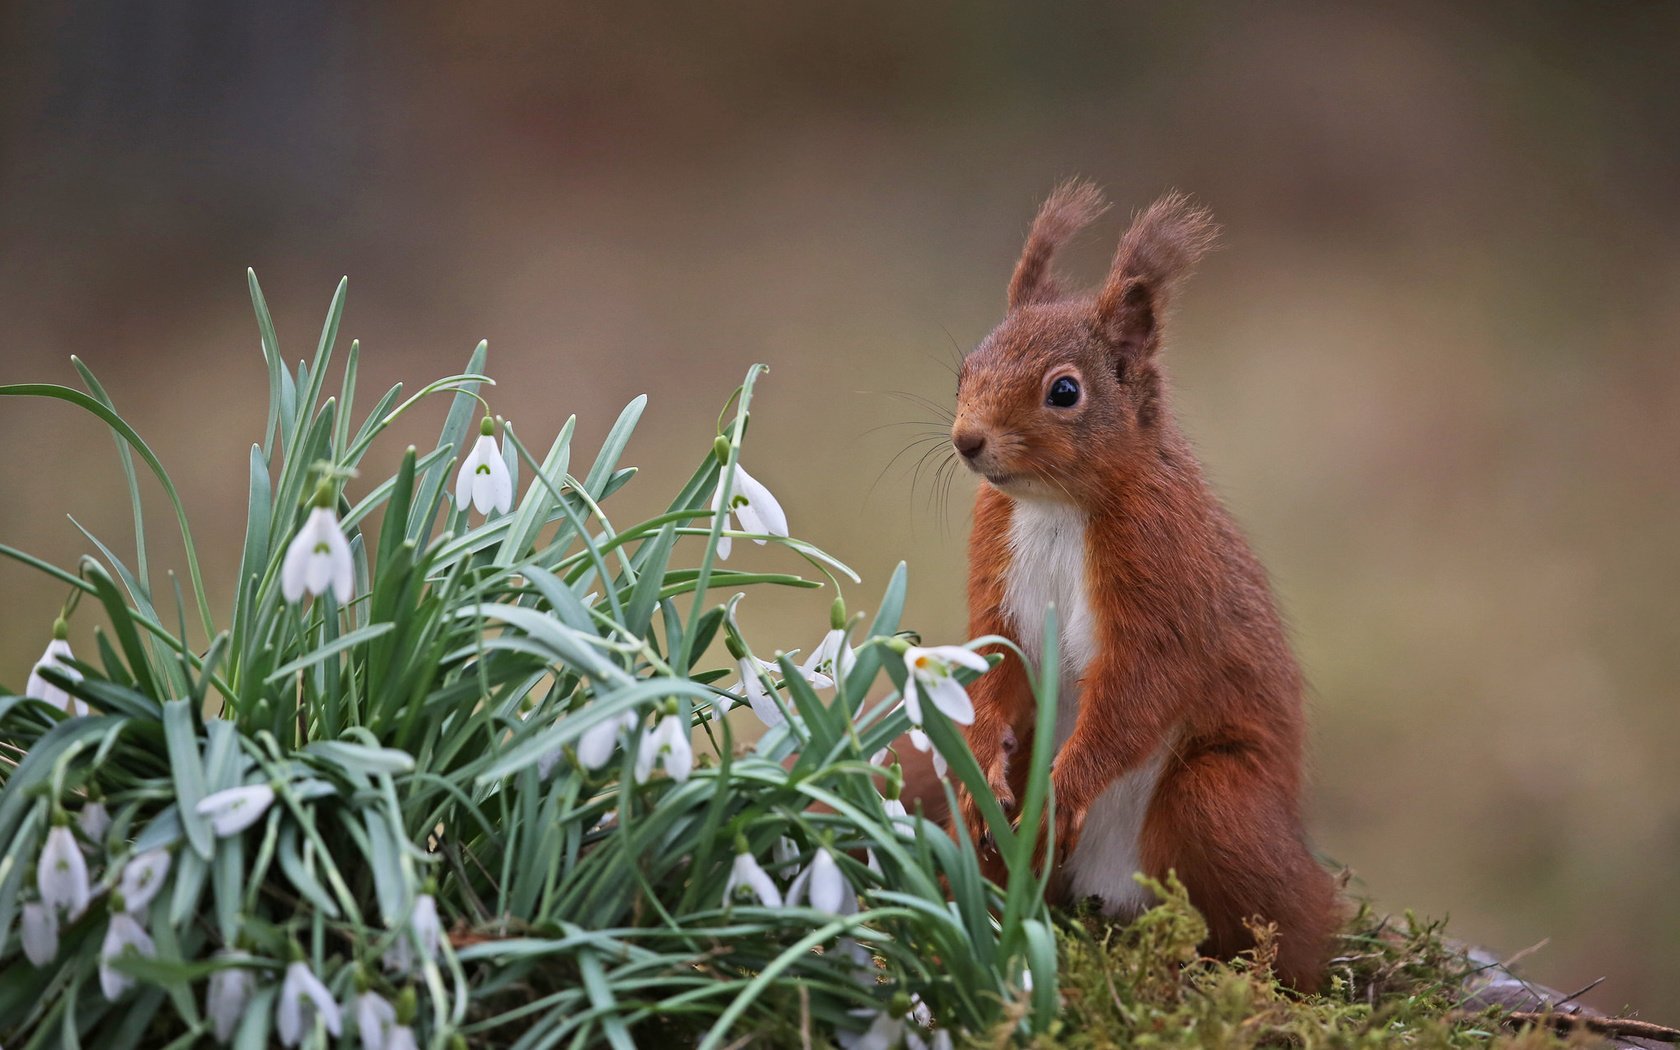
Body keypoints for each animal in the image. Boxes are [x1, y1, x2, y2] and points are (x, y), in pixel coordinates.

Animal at [947, 182, 1337, 987]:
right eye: (964, 369)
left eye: (1065, 390)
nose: (967, 440)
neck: (1055, 506)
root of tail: (1109, 893)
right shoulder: (995, 564)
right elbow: (996, 655)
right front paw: (982, 755)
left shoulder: (1164, 571)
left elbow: (1139, 688)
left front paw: (1064, 791)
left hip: (1219, 802)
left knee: (1293, 929)